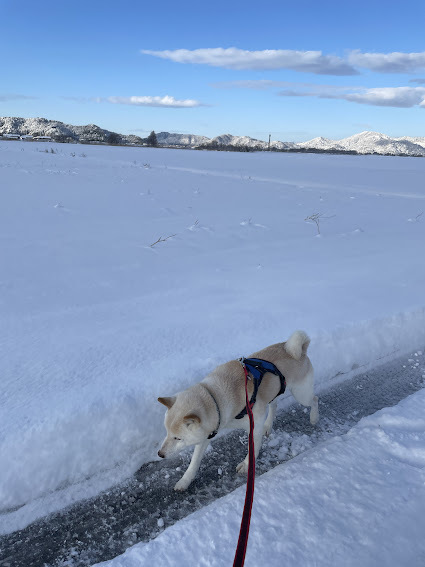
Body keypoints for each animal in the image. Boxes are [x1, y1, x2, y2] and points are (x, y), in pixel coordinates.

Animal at [157, 330, 316, 490]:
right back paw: (268, 425)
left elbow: (253, 449)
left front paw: (246, 465)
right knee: (274, 405)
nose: (160, 454)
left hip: (301, 394)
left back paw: (314, 417)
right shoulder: (208, 433)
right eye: (167, 432)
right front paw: (184, 481)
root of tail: (298, 351)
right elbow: (194, 462)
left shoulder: (254, 425)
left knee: (314, 400)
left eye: (177, 438)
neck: (215, 397)